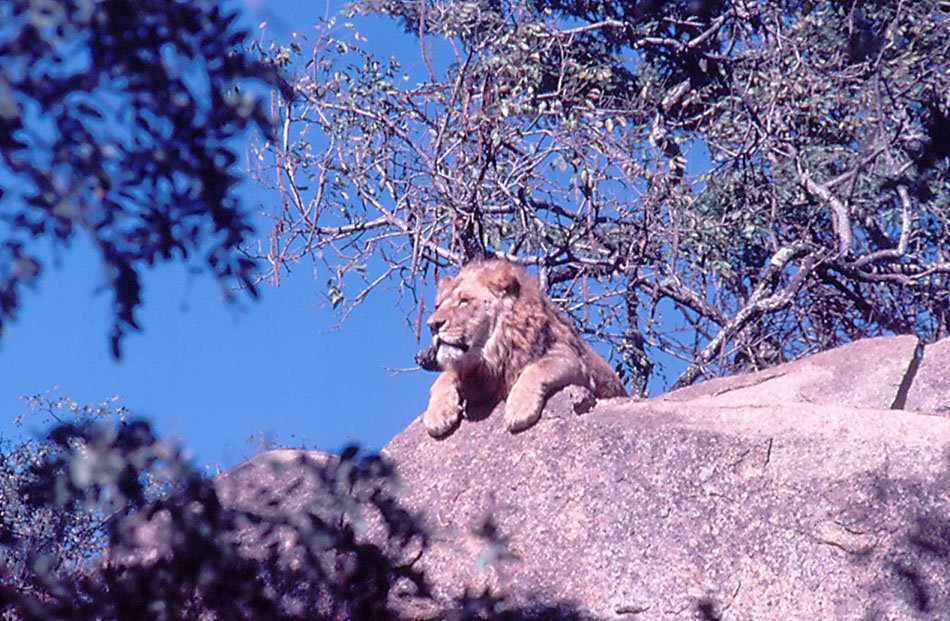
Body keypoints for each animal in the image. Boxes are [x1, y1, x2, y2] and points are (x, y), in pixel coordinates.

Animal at [421, 259, 627, 437]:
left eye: (464, 301)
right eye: (437, 306)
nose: (432, 325)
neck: (489, 357)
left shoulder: (574, 362)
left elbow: (537, 368)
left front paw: (519, 410)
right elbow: (442, 378)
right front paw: (437, 416)